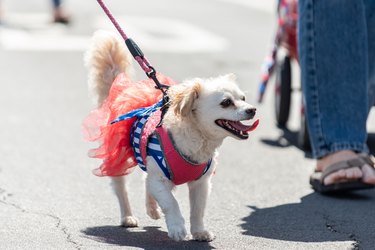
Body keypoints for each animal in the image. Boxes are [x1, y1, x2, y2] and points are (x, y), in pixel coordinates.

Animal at [83, 30, 258, 241]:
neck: (198, 139)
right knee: (122, 189)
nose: (252, 110)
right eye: (226, 102)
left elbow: (197, 210)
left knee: (146, 182)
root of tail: (121, 93)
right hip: (117, 159)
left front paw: (199, 231)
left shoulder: (201, 184)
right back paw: (128, 217)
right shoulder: (160, 179)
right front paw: (177, 228)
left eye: (243, 99)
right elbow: (172, 203)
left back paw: (152, 209)